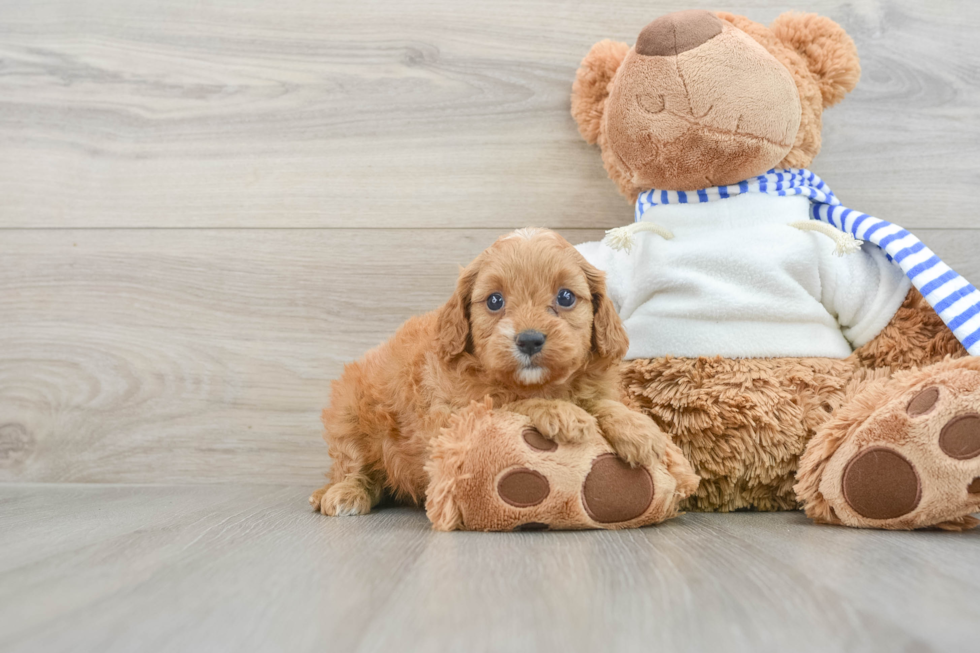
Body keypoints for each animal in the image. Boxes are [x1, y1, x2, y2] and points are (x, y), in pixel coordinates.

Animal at [314, 228, 668, 516]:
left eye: (566, 296)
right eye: (495, 301)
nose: (529, 340)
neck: (537, 384)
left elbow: (599, 401)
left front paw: (637, 427)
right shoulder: (453, 415)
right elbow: (508, 401)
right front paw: (561, 412)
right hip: (349, 413)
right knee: (353, 465)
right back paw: (342, 493)